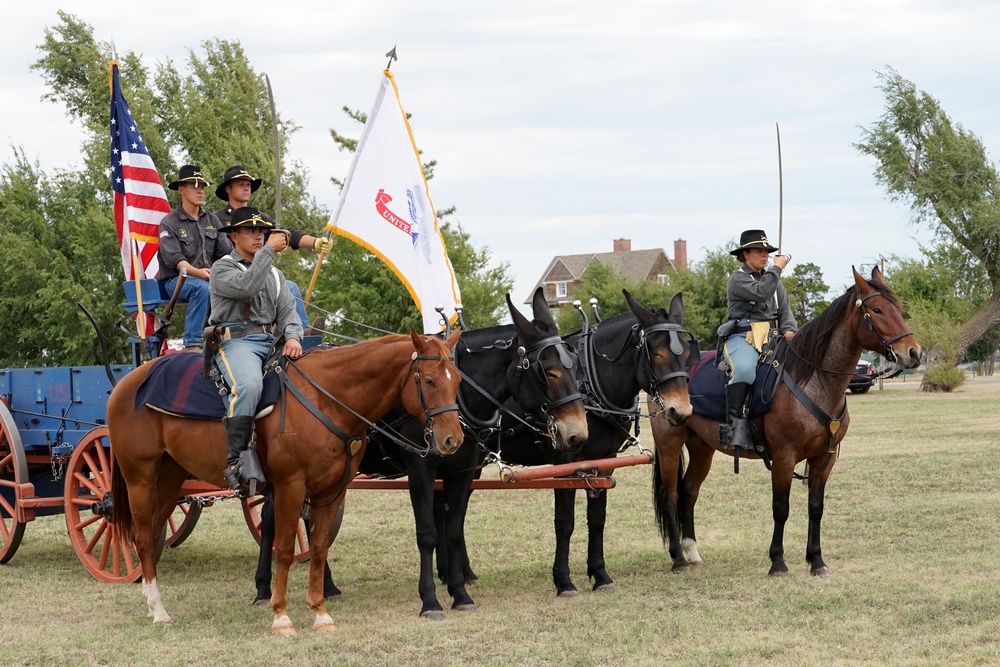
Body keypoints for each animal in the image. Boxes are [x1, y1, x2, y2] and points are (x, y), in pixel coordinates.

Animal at [107, 330, 466, 636]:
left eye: (458, 380)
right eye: (429, 380)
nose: (453, 440)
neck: (326, 398)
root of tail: (126, 383)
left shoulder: (331, 491)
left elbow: (318, 547)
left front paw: (320, 613)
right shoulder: (290, 487)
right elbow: (283, 548)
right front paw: (281, 616)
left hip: (169, 478)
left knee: (153, 532)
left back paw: (152, 604)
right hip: (140, 478)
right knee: (142, 538)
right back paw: (158, 609)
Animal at [648, 268, 920, 576]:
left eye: (899, 309)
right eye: (877, 310)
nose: (914, 352)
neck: (813, 379)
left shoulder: (823, 459)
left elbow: (816, 507)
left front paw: (816, 560)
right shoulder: (783, 457)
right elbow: (781, 508)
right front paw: (777, 561)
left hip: (702, 447)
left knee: (688, 491)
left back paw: (691, 551)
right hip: (669, 444)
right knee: (670, 495)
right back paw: (678, 558)